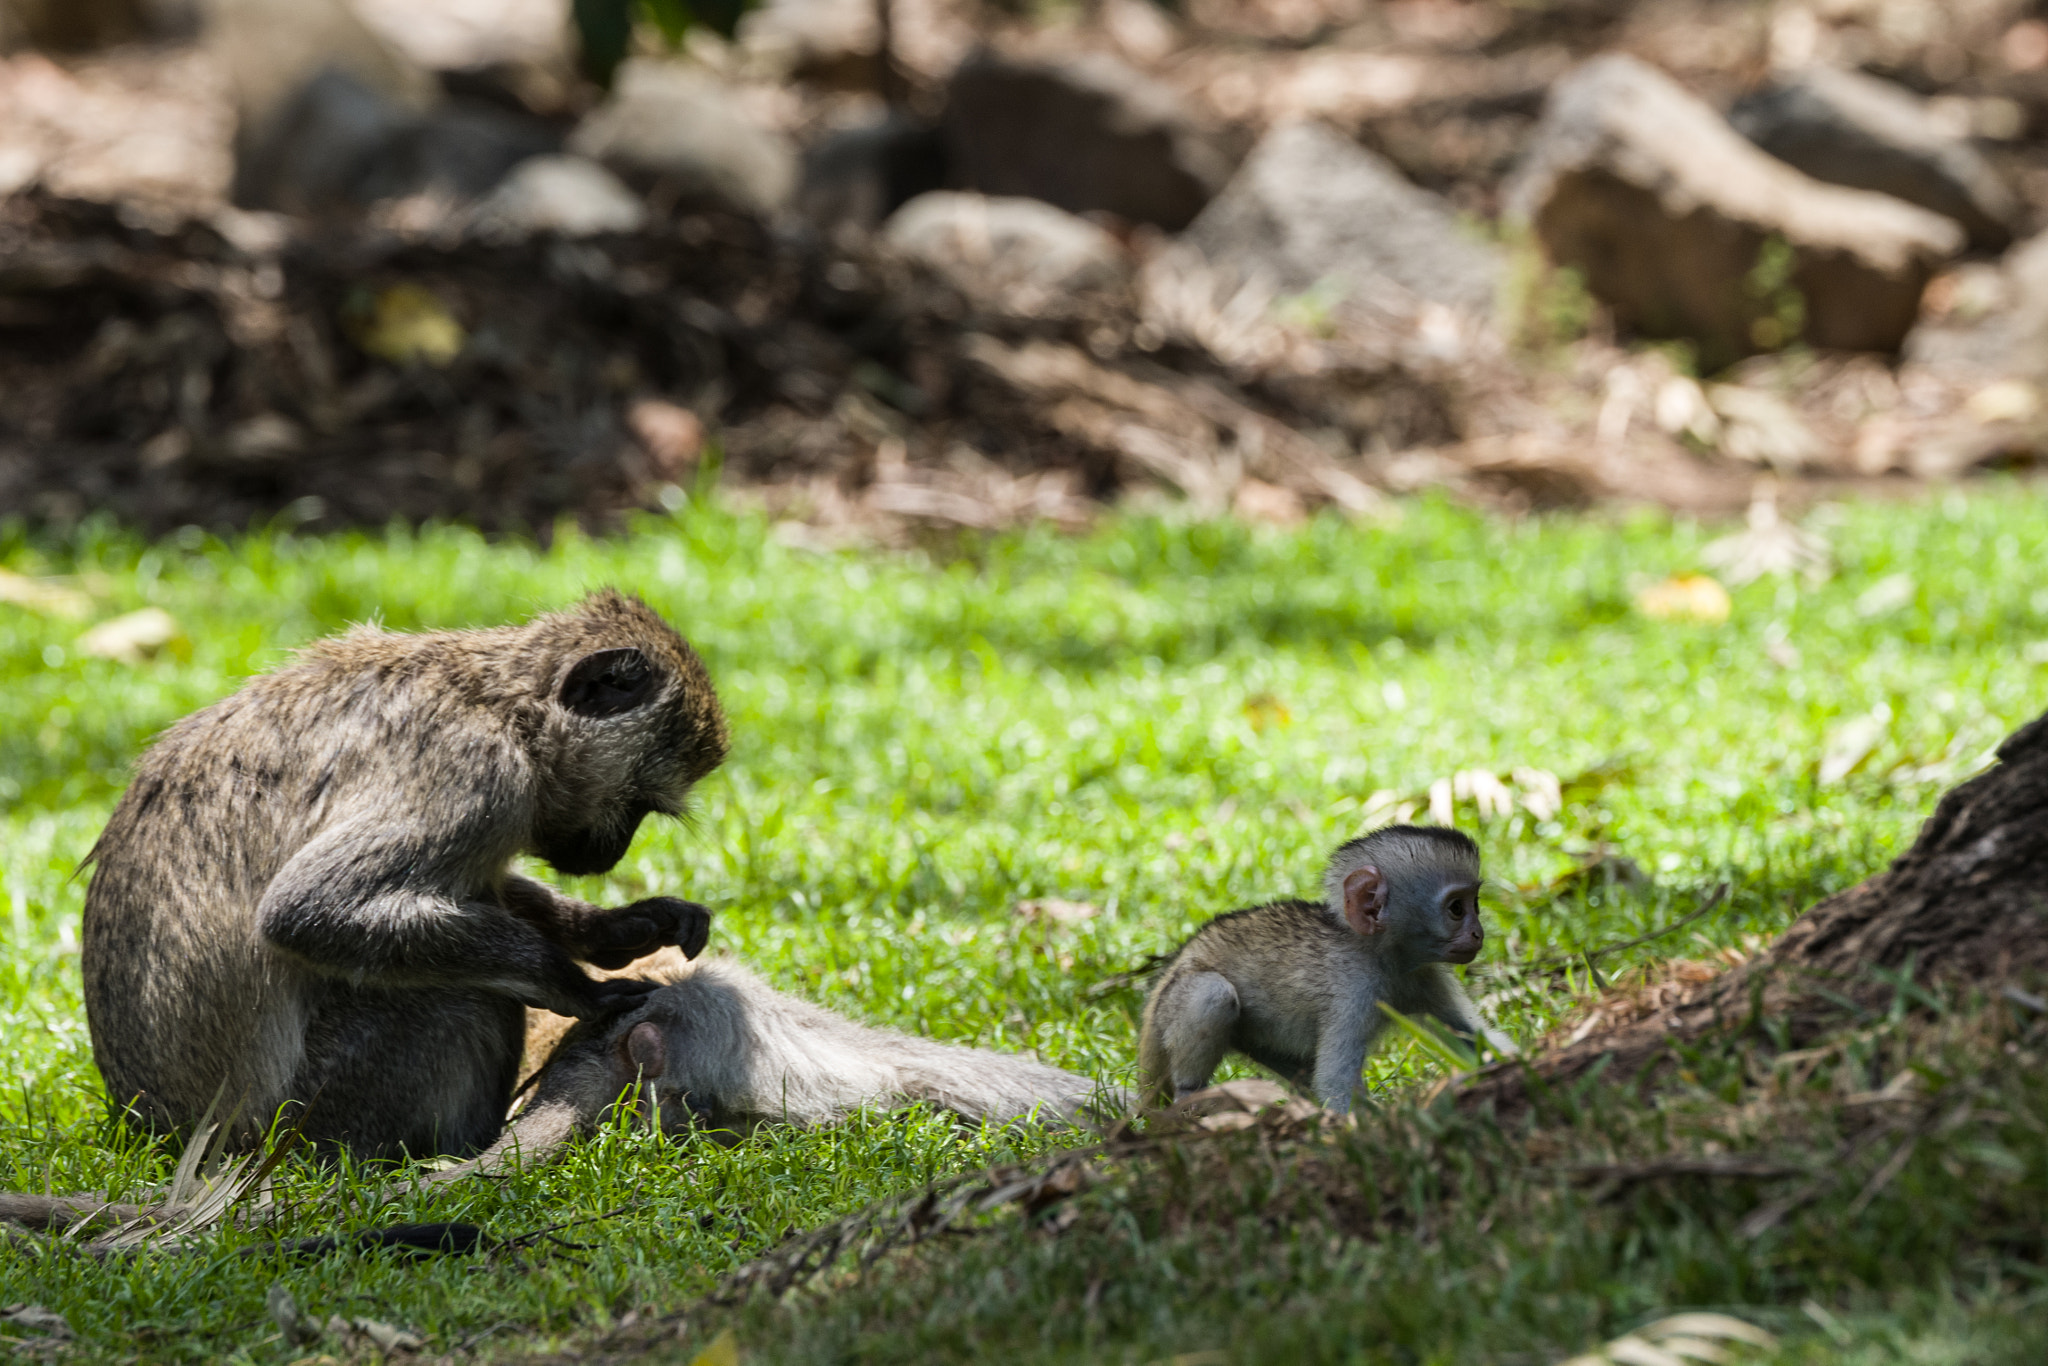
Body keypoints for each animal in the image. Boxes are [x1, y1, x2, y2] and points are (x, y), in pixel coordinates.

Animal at [78, 590, 730, 1161]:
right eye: (638, 804)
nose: (611, 854)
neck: (506, 705)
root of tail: (161, 1127)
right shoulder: (480, 775)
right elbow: (307, 911)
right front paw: (577, 986)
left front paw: (617, 930)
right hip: (314, 1112)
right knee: (462, 995)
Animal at [1136, 825, 1511, 1114]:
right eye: (1456, 909)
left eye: (1475, 905)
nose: (1478, 933)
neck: (1382, 956)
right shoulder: (1355, 988)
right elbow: (1335, 1082)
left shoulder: (1425, 977)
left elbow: (1476, 1039)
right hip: (1171, 1007)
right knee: (1214, 993)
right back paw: (1189, 1098)